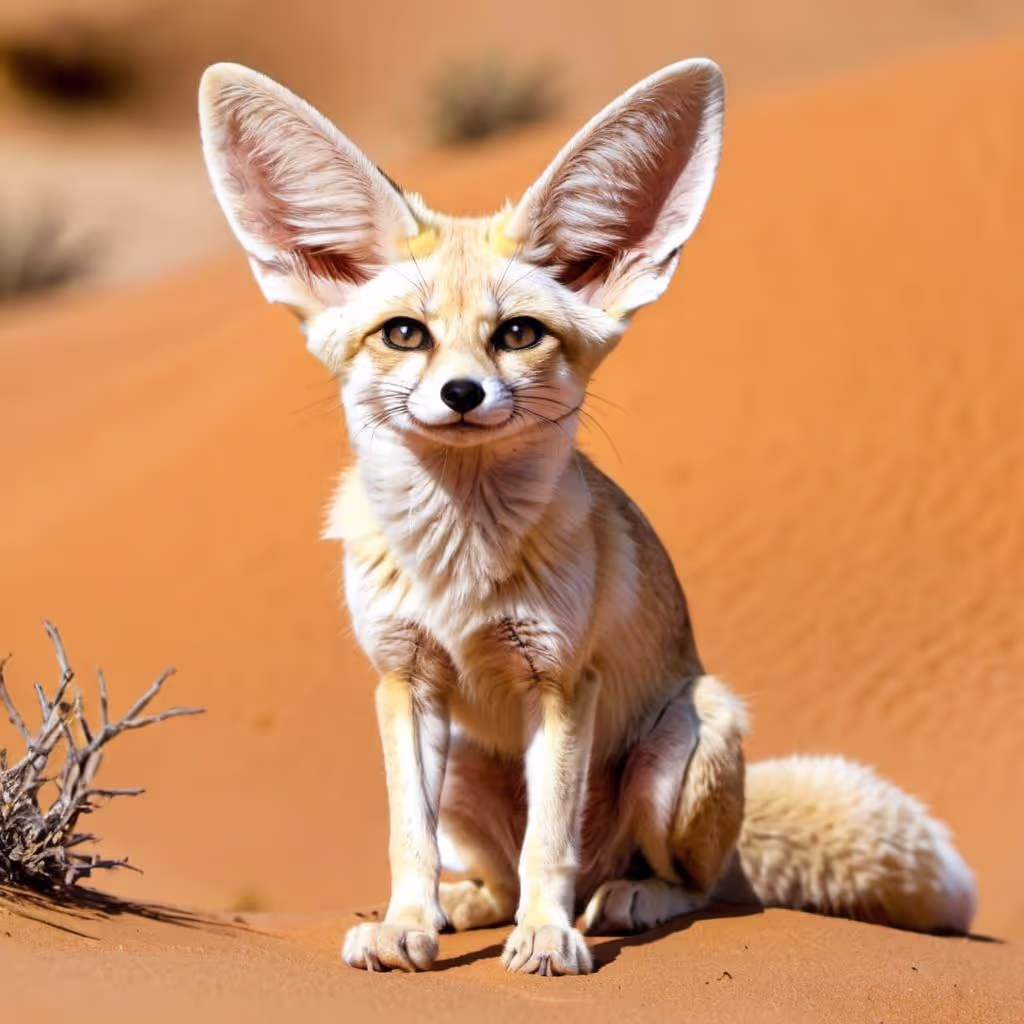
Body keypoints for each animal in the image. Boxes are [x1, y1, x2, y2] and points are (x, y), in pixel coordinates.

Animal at [198, 58, 976, 976]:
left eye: (517, 334)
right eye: (405, 335)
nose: (461, 394)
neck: (459, 563)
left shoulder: (563, 680)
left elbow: (550, 843)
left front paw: (548, 936)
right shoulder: (405, 678)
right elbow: (408, 840)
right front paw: (407, 924)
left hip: (680, 746)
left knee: (692, 886)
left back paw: (626, 901)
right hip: (466, 768)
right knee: (497, 874)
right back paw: (467, 907)